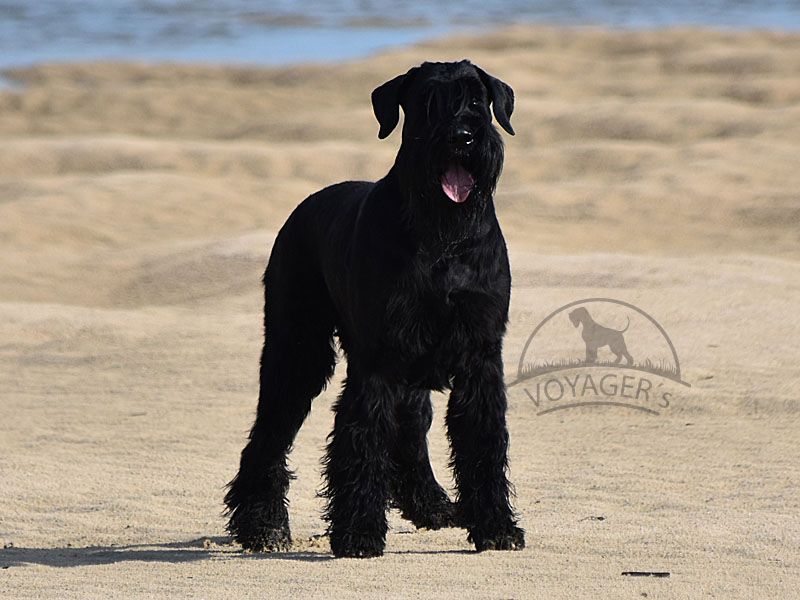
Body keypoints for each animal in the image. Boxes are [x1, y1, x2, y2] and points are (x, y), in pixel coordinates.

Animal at [224, 60, 524, 558]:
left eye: (476, 100)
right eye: (426, 102)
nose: (462, 137)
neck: (440, 237)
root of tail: (299, 212)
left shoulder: (480, 355)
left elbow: (483, 439)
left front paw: (496, 525)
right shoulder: (379, 359)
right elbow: (361, 438)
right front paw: (358, 532)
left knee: (410, 434)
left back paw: (433, 506)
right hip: (298, 352)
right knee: (269, 433)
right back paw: (261, 525)